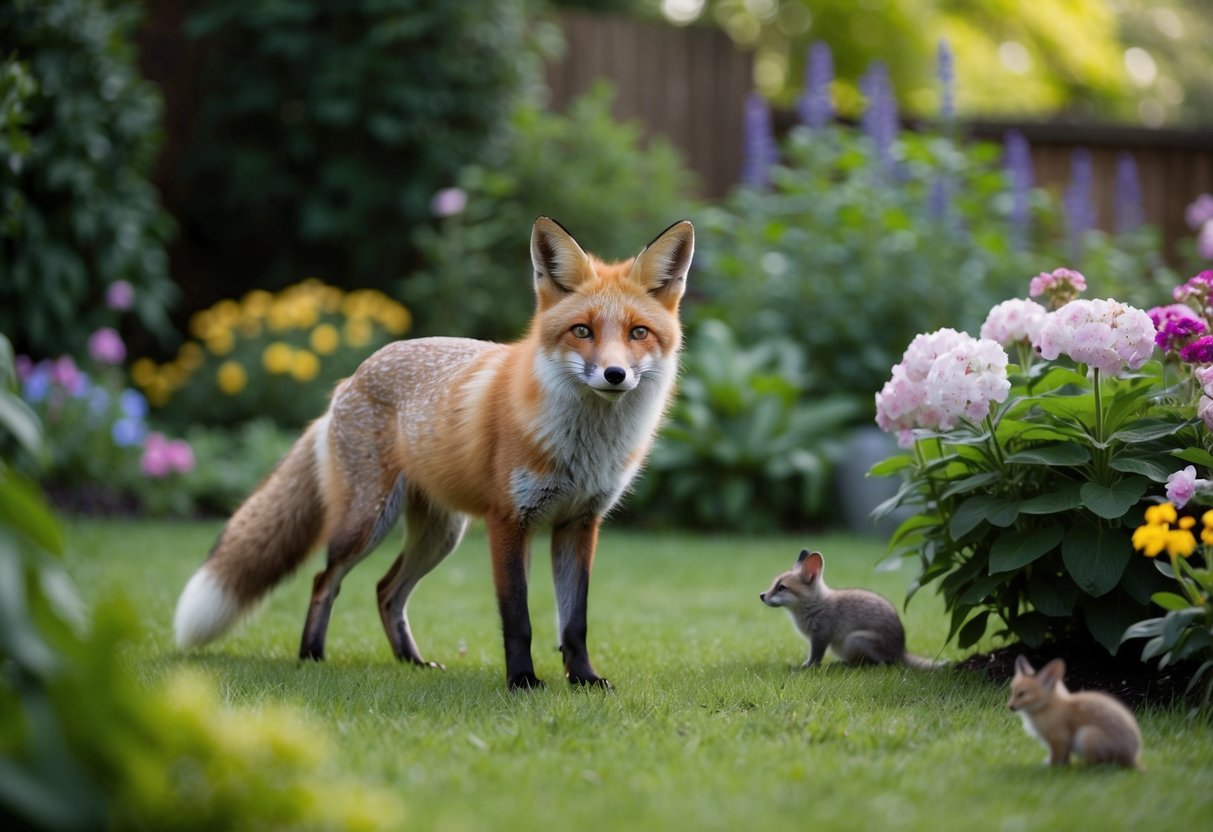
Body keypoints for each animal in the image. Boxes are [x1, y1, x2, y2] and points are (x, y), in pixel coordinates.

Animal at [173, 216, 694, 690]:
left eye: (638, 333)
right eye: (582, 331)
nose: (614, 375)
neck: (584, 445)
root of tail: (349, 379)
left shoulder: (579, 524)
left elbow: (574, 621)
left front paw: (583, 678)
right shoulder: (509, 521)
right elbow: (518, 618)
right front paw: (522, 681)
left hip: (440, 535)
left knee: (386, 591)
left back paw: (412, 662)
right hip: (367, 522)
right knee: (325, 580)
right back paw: (312, 655)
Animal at [760, 549, 945, 670]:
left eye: (781, 588)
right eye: (774, 584)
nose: (761, 595)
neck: (815, 606)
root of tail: (901, 650)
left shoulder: (821, 636)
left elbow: (815, 657)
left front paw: (807, 667)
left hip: (854, 639)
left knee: (884, 664)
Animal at [1008, 655, 1143, 768]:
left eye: (1022, 694)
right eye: (1012, 691)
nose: (1010, 706)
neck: (1049, 707)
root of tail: (1133, 757)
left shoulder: (1059, 738)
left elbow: (1056, 760)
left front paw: (1049, 770)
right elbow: (1063, 760)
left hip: (1087, 735)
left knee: (1101, 765)